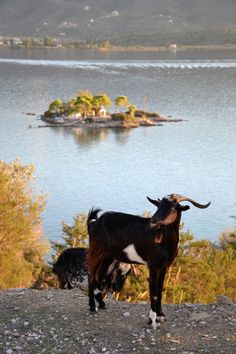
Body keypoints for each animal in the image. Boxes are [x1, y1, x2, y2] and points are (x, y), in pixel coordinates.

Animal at [87, 194, 210, 330]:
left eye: (173, 207)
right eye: (159, 205)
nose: (153, 221)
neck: (163, 241)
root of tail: (94, 223)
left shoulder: (164, 266)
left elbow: (160, 290)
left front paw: (161, 316)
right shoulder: (153, 265)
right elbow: (154, 293)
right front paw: (153, 320)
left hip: (108, 256)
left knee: (98, 275)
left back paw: (102, 304)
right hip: (96, 250)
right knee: (91, 274)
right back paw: (92, 307)